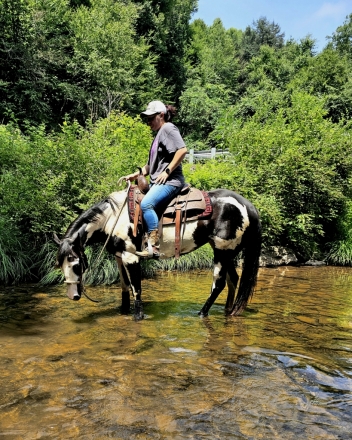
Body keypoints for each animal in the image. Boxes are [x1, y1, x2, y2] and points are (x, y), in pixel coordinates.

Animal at [54, 186, 262, 320]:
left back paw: (202, 314)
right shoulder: (119, 256)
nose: (73, 296)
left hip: (222, 252)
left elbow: (136, 287)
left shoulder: (131, 257)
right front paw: (124, 311)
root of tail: (247, 205)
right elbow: (124, 285)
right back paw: (228, 311)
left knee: (218, 285)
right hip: (228, 253)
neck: (113, 217)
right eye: (60, 265)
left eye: (76, 264)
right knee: (233, 279)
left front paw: (138, 316)